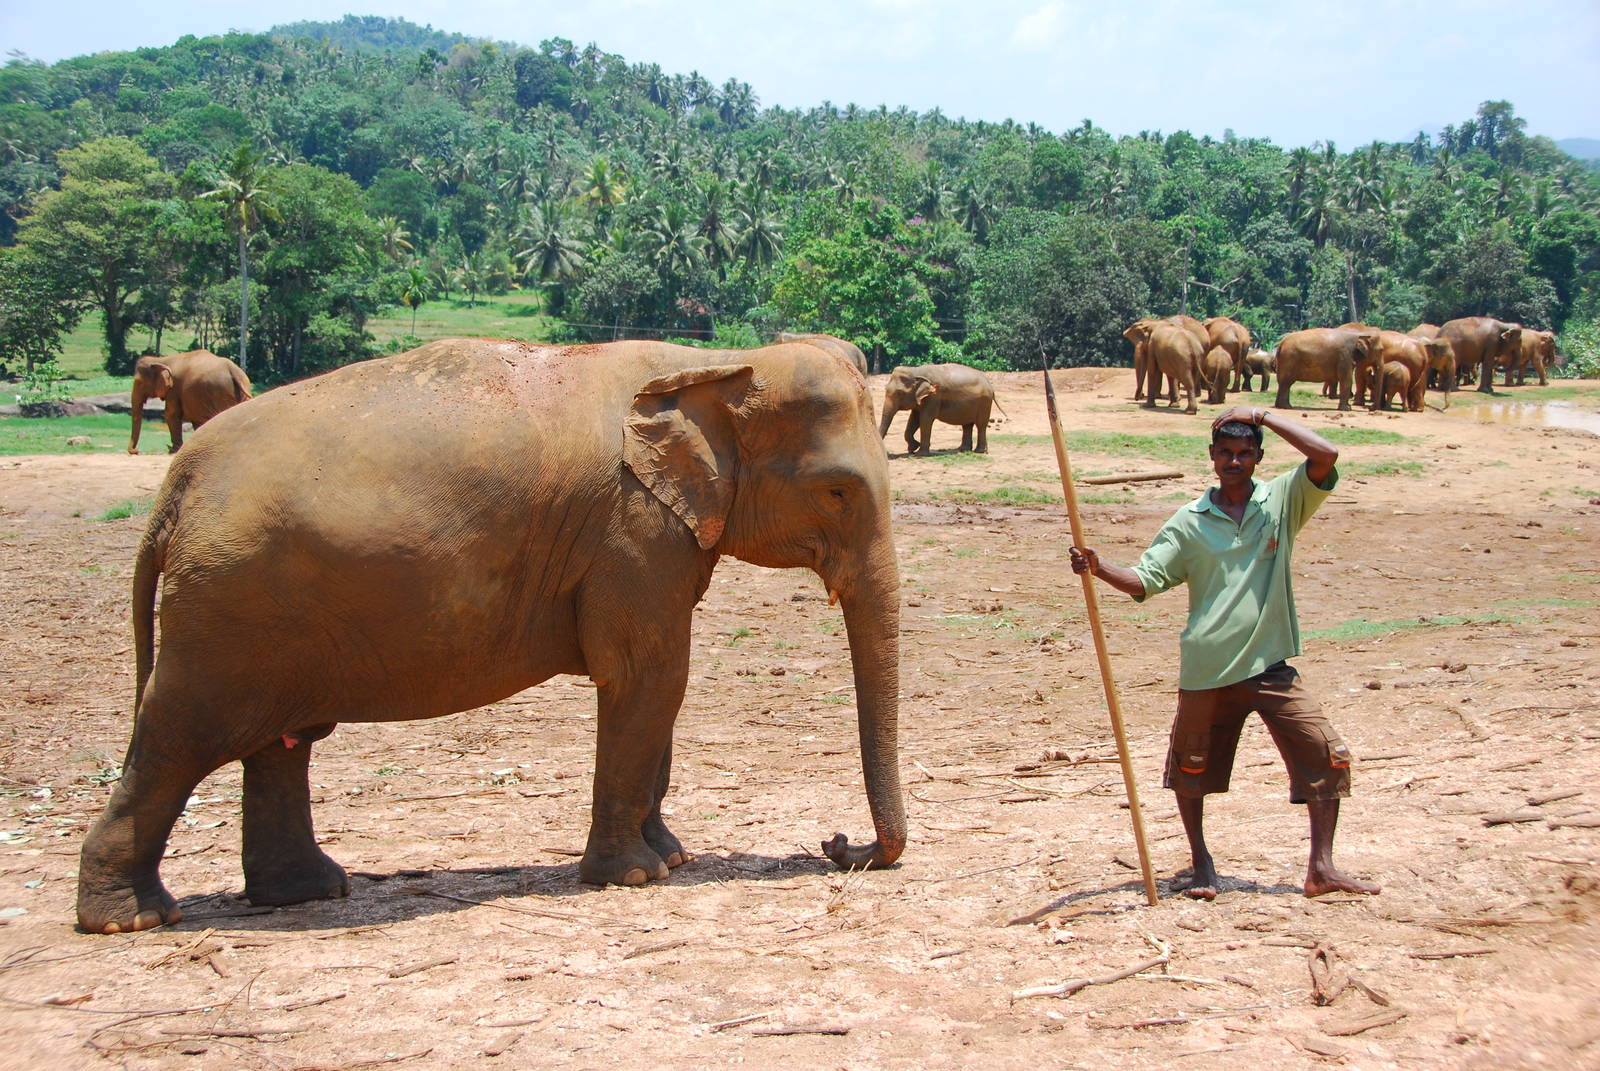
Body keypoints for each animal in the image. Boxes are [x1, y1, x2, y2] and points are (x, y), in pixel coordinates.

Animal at [75, 338, 906, 934]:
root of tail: (175, 486)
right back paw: (131, 919)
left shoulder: (662, 536)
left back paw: (309, 891)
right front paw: (637, 874)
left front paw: (671, 856)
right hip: (228, 606)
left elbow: (659, 683)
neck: (715, 364)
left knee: (280, 742)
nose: (839, 846)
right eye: (837, 491)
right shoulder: (630, 532)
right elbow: (649, 673)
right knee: (181, 735)